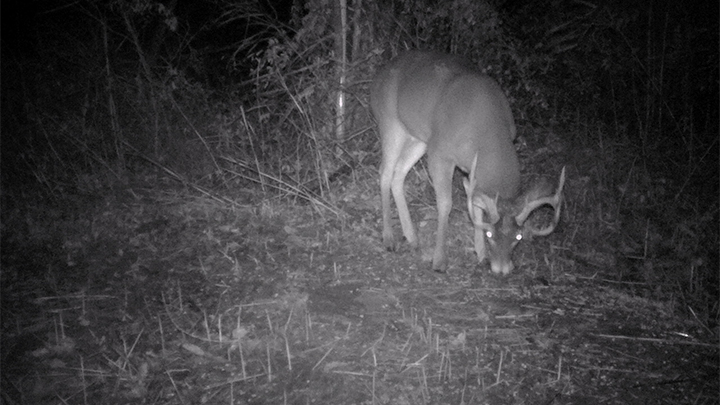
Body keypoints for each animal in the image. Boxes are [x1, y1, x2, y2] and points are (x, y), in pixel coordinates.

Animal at [372, 49, 568, 274]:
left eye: (517, 237)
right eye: (490, 234)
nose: (502, 269)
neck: (487, 135)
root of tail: (378, 76)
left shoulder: (469, 167)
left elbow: (476, 203)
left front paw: (480, 253)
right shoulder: (440, 151)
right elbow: (445, 203)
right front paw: (440, 260)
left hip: (418, 138)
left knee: (399, 174)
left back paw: (411, 237)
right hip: (391, 123)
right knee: (385, 172)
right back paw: (389, 238)